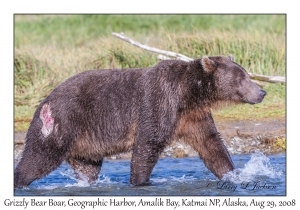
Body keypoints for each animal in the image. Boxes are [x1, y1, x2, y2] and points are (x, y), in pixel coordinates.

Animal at [14, 55, 268, 188]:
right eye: (242, 78)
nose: (262, 92)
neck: (188, 93)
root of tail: (44, 101)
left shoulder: (193, 117)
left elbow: (211, 144)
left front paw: (234, 174)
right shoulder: (159, 101)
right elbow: (148, 144)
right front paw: (140, 182)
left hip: (86, 143)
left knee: (88, 168)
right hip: (62, 122)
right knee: (39, 157)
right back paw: (21, 181)